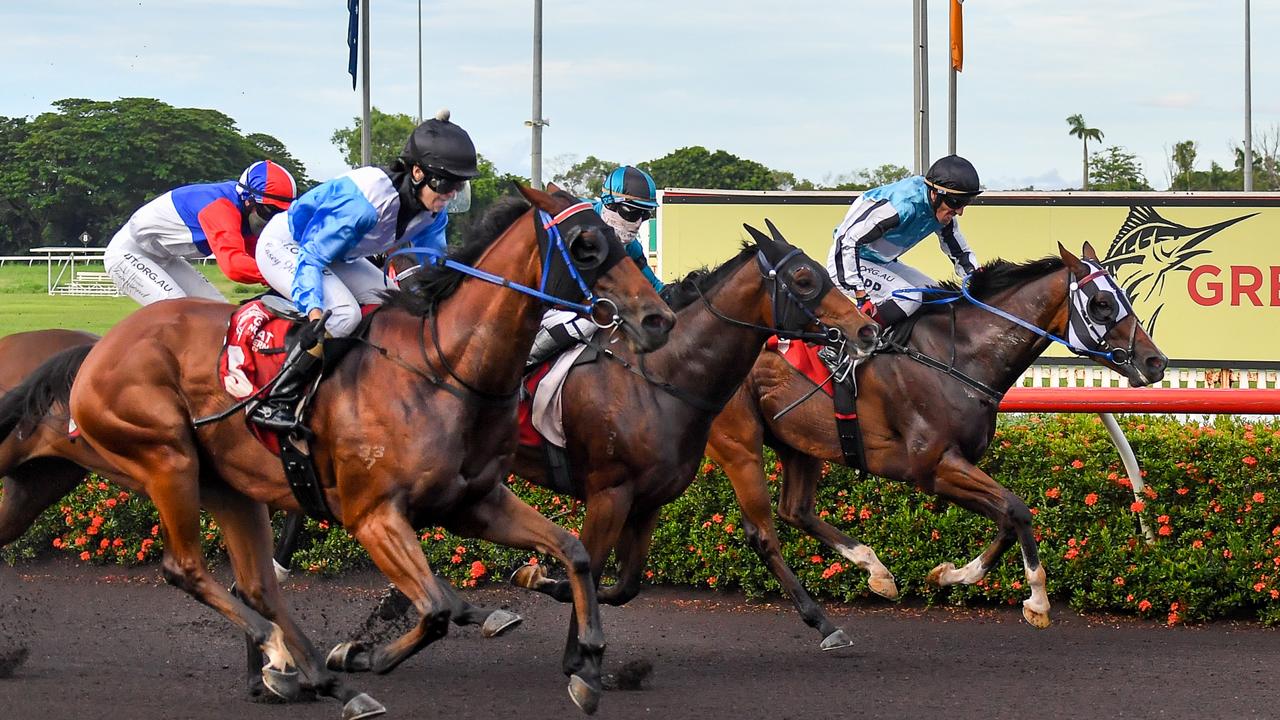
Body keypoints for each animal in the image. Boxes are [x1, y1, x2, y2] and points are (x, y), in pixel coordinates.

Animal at [0, 185, 675, 717]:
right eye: (587, 245)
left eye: (627, 243)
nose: (658, 318)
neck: (444, 369)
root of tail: (97, 350)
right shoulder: (372, 515)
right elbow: (435, 607)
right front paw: (363, 655)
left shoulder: (475, 502)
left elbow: (574, 554)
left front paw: (588, 665)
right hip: (167, 460)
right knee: (185, 568)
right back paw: (286, 659)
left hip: (204, 485)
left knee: (257, 584)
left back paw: (310, 677)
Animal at [706, 240, 1167, 638]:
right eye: (1102, 304)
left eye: (1124, 297)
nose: (1155, 361)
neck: (957, 356)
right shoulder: (933, 466)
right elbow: (1018, 510)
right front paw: (1037, 601)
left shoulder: (956, 465)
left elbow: (1006, 518)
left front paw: (949, 575)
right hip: (740, 443)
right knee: (764, 532)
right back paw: (825, 621)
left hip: (799, 442)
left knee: (796, 510)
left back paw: (877, 572)